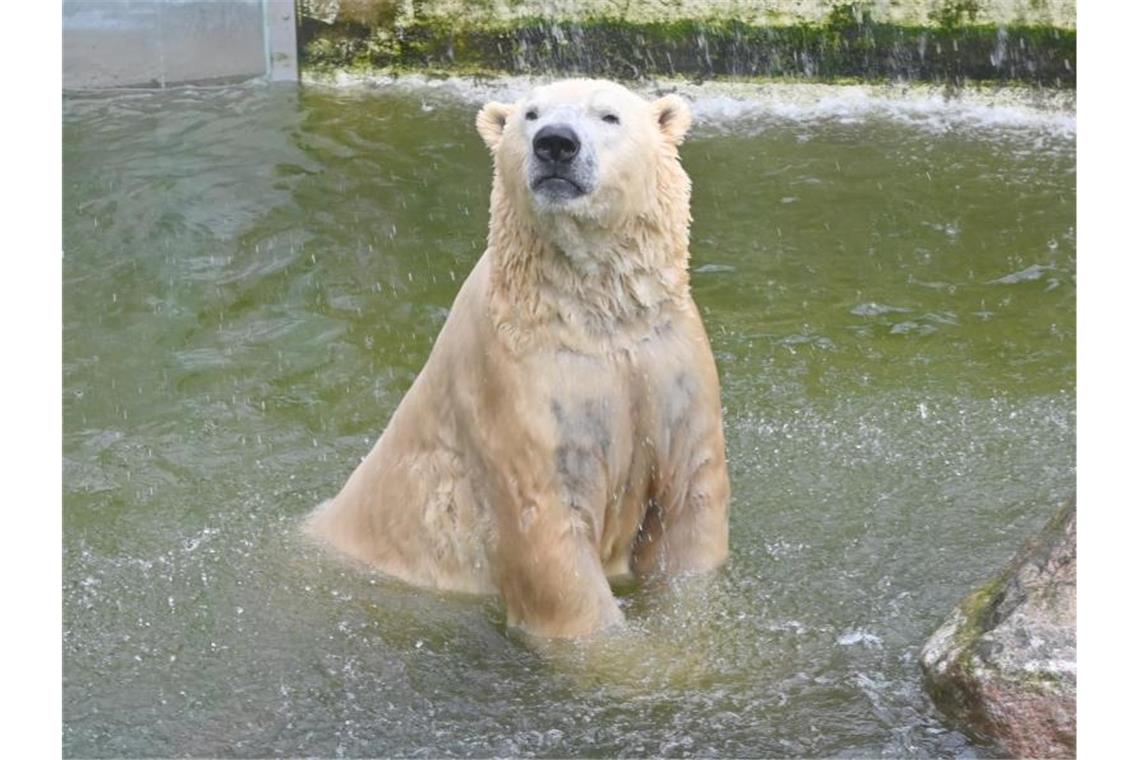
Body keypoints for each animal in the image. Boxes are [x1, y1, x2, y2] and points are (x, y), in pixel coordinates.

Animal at [305, 78, 729, 638]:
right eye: (531, 114)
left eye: (609, 116)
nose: (555, 143)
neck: (589, 314)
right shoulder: (515, 382)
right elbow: (548, 535)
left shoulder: (669, 361)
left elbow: (690, 502)